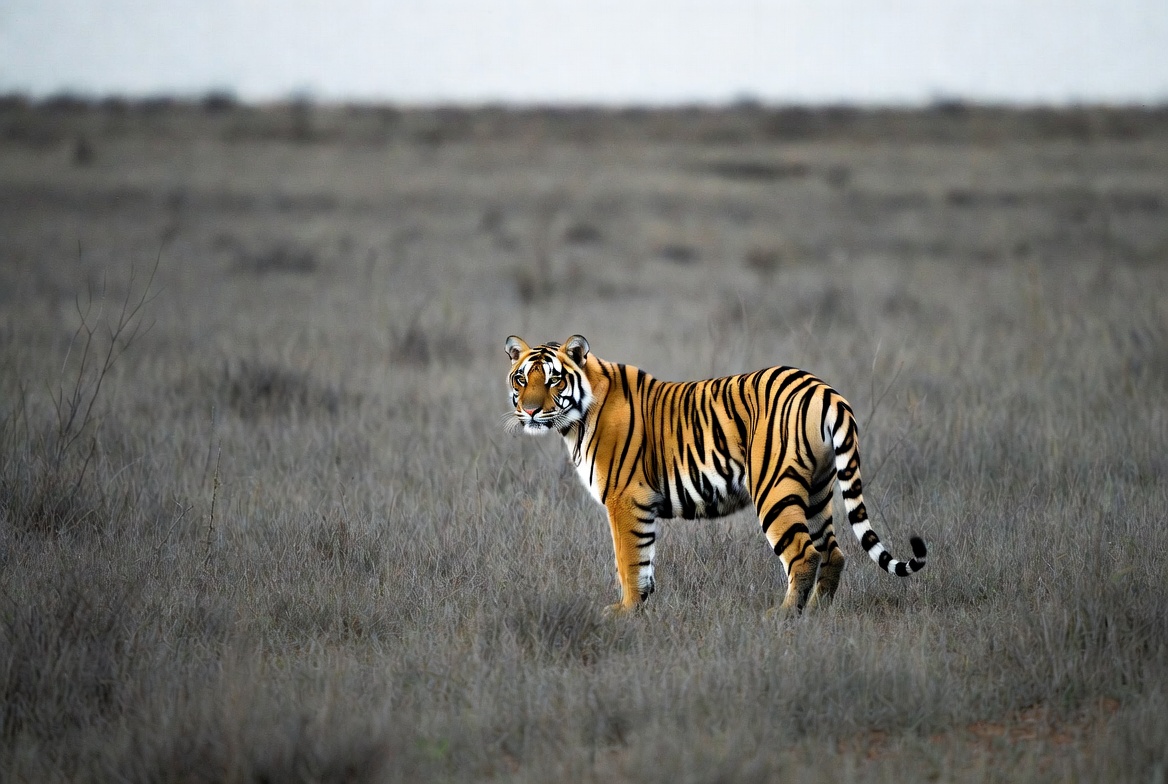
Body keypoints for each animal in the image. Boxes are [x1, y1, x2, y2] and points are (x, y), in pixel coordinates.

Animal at [503, 334, 927, 615]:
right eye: (521, 379)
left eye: (554, 379)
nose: (530, 410)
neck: (575, 421)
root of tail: (824, 389)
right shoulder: (641, 505)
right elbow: (645, 560)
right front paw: (643, 604)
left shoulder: (625, 498)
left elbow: (628, 559)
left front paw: (625, 612)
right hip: (818, 490)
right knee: (833, 553)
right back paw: (816, 613)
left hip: (775, 489)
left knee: (805, 554)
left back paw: (783, 616)